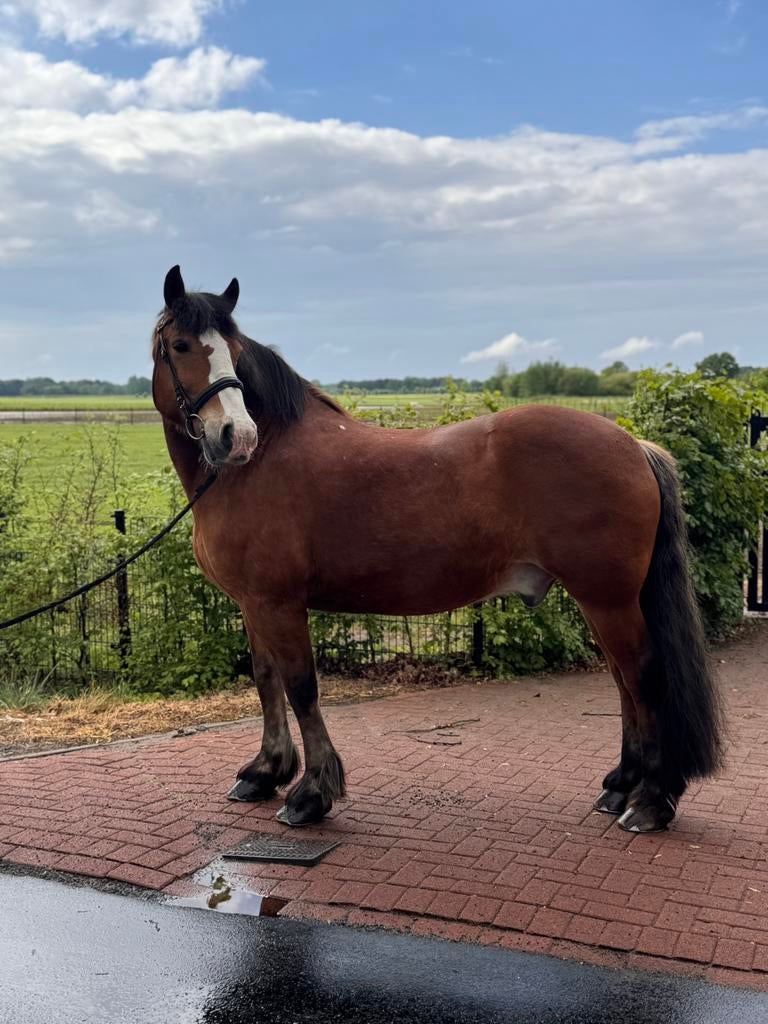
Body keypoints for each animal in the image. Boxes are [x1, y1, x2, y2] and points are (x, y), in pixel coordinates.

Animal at [151, 265, 724, 831]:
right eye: (180, 345)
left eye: (234, 352)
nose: (236, 436)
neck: (260, 462)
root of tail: (633, 445)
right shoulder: (253, 604)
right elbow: (267, 680)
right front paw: (265, 772)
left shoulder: (279, 604)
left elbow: (301, 687)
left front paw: (311, 794)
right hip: (602, 600)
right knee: (623, 680)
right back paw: (621, 786)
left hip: (609, 599)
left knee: (642, 676)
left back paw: (651, 801)